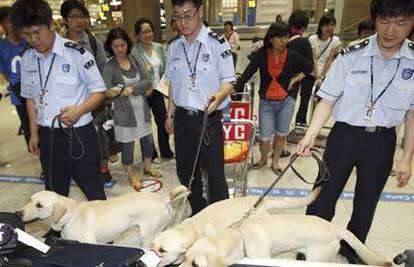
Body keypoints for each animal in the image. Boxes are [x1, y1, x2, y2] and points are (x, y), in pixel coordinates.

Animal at [17, 186, 188, 247]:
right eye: (30, 200)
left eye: (39, 205)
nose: (18, 213)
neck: (71, 215)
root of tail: (162, 198)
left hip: (147, 237)